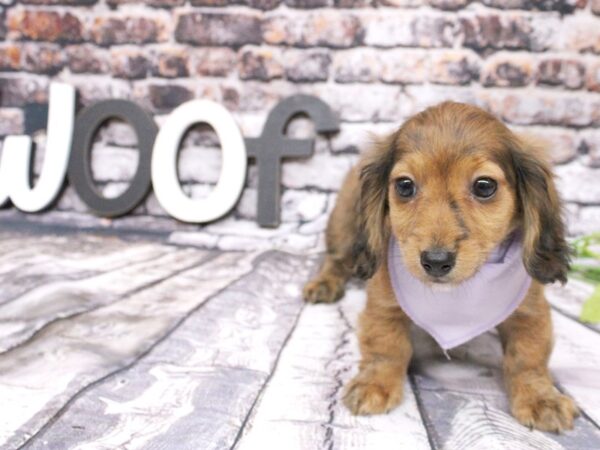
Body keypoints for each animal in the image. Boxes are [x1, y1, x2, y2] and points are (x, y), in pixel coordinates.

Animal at [302, 101, 580, 432]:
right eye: (405, 186)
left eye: (484, 186)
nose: (435, 262)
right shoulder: (383, 300)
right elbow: (386, 344)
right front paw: (376, 383)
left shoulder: (530, 310)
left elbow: (527, 357)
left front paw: (541, 397)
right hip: (345, 224)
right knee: (335, 259)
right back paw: (324, 284)